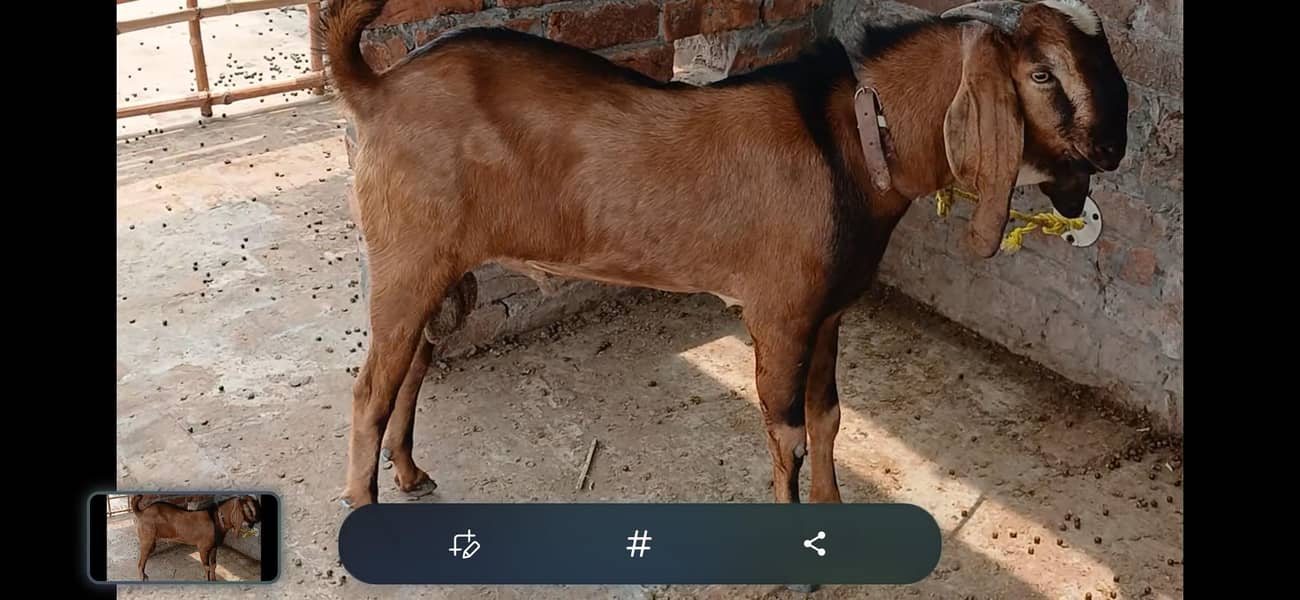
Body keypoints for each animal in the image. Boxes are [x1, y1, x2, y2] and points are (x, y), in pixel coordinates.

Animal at [130, 494, 261, 581]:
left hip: (151, 541)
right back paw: (142, 578)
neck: (216, 519)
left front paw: (214, 579)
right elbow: (207, 567)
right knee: (141, 562)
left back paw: (145, 575)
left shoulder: (214, 547)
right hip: (147, 539)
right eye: (248, 509)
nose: (255, 522)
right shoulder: (203, 548)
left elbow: (214, 565)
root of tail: (142, 511)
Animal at [319, 0, 1129, 508]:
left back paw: (410, 473)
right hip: (407, 257)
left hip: (441, 263)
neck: (854, 143)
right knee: (369, 388)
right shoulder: (779, 313)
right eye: (1043, 75)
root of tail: (375, 86)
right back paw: (363, 503)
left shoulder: (828, 315)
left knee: (414, 364)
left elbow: (830, 418)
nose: (1114, 149)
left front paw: (832, 511)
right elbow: (788, 434)